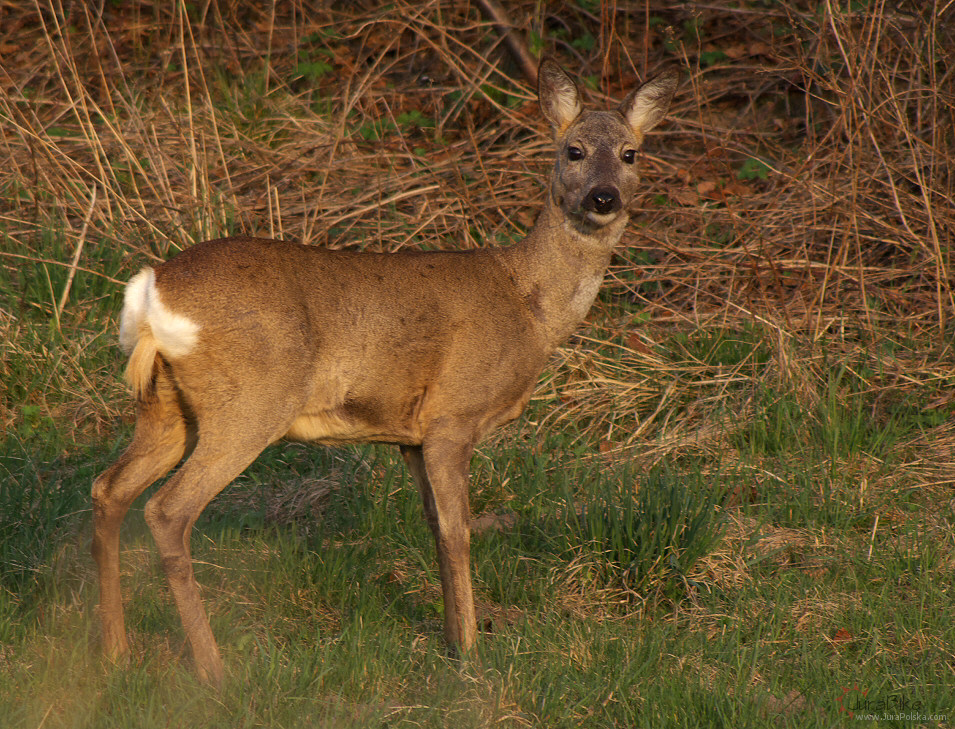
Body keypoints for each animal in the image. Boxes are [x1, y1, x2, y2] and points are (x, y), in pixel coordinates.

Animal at [88, 58, 672, 684]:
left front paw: (453, 639)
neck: (530, 305)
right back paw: (214, 671)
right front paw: (471, 653)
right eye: (573, 150)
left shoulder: (410, 436)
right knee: (168, 510)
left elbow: (435, 527)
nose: (604, 197)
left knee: (109, 488)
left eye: (632, 153)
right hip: (250, 401)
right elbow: (458, 531)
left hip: (166, 410)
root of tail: (154, 293)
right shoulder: (452, 416)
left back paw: (116, 652)